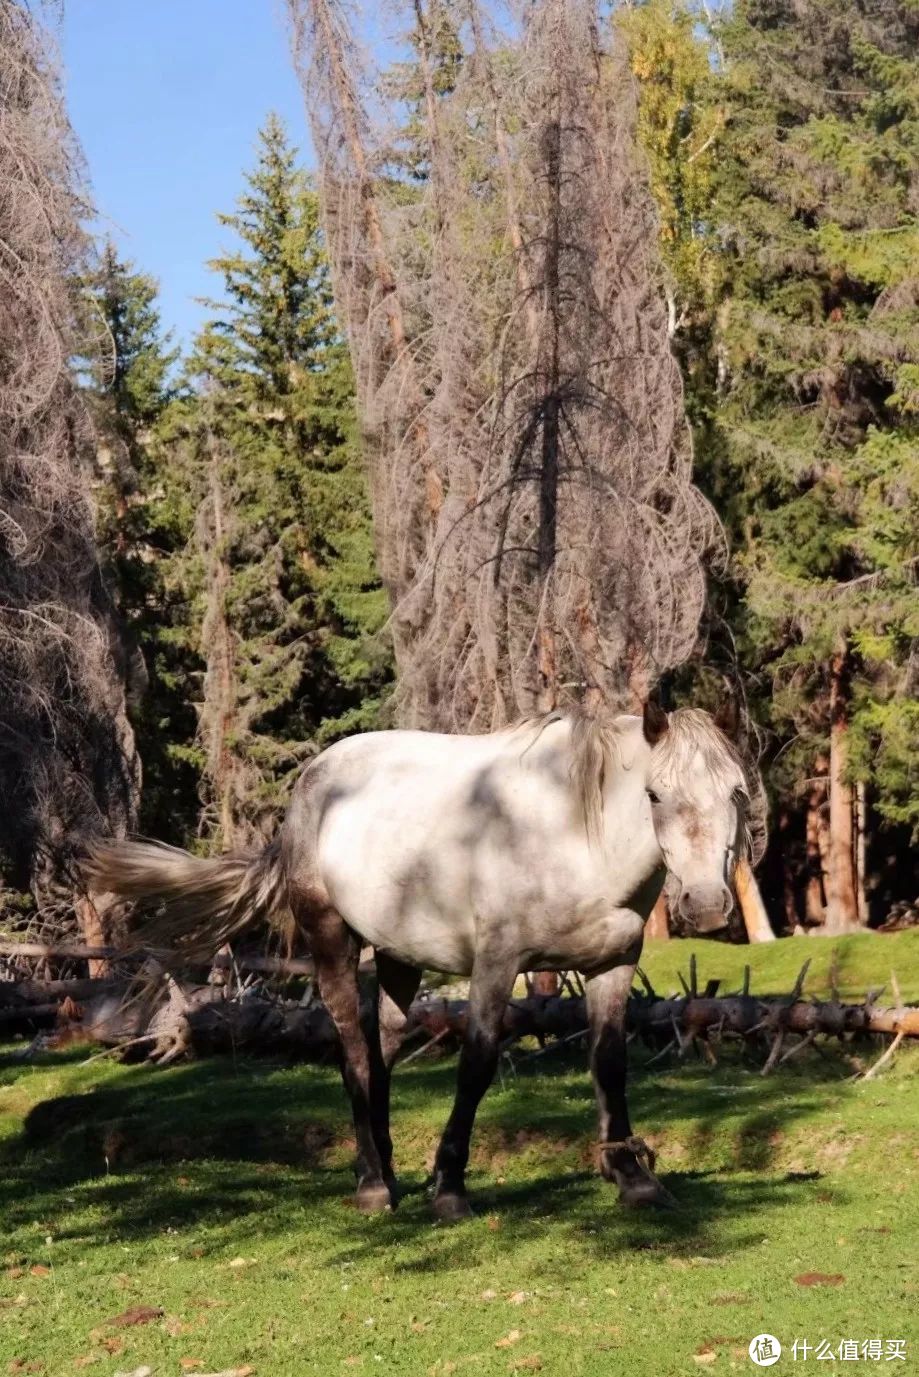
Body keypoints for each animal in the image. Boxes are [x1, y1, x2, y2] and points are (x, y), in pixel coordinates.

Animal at [86, 705, 760, 1222]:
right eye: (655, 794)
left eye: (736, 793)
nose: (706, 906)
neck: (576, 839)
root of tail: (310, 784)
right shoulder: (497, 964)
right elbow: (477, 1065)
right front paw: (450, 1188)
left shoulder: (614, 964)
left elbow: (610, 1064)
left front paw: (632, 1176)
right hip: (331, 939)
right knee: (354, 1051)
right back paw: (371, 1185)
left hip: (397, 958)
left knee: (381, 1047)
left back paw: (384, 1169)